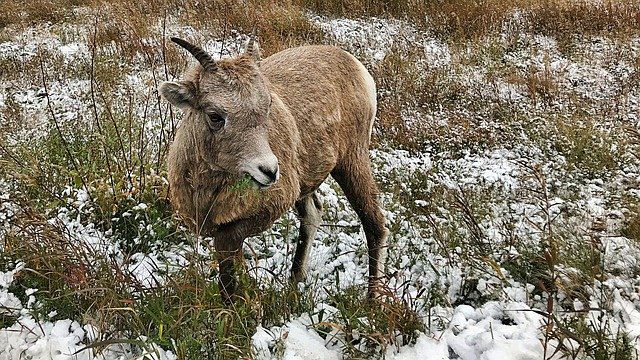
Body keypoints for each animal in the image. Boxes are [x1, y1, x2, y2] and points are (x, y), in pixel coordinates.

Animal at [160, 35, 390, 300]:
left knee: (374, 224)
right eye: (215, 115)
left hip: (352, 161)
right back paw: (295, 279)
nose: (269, 171)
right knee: (312, 214)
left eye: (268, 106)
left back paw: (372, 301)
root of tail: (355, 64)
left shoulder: (261, 213)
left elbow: (227, 253)